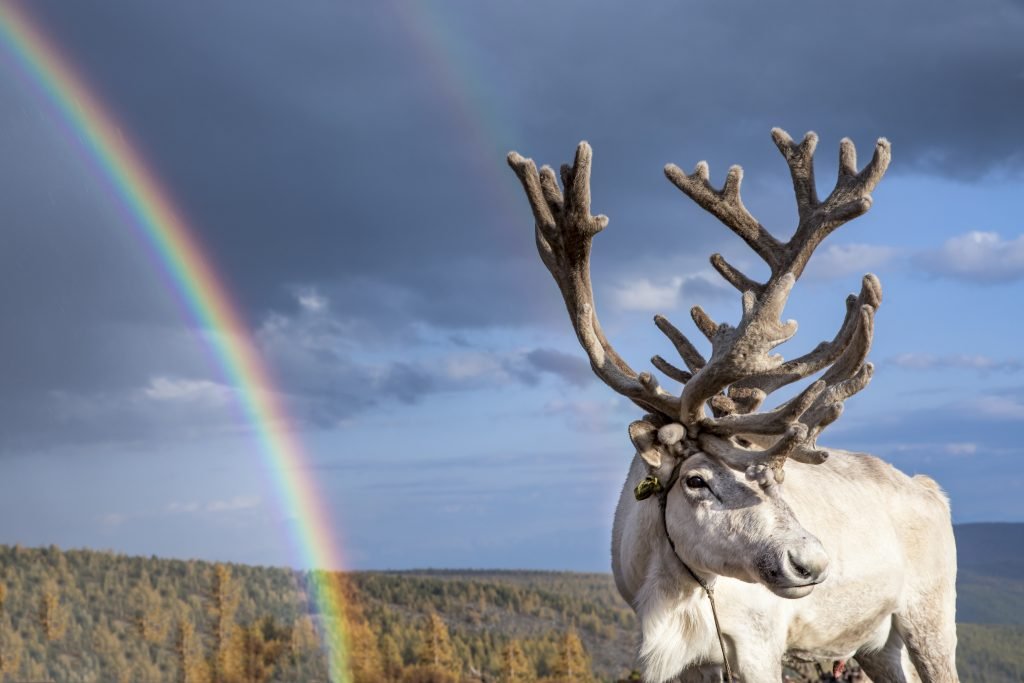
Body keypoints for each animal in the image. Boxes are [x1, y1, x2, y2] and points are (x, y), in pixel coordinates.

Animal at [507, 129, 958, 683]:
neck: (670, 591)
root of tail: (933, 491)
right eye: (696, 481)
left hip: (930, 616)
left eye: (777, 478)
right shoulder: (678, 661)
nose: (811, 562)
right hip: (879, 642)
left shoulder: (757, 645)